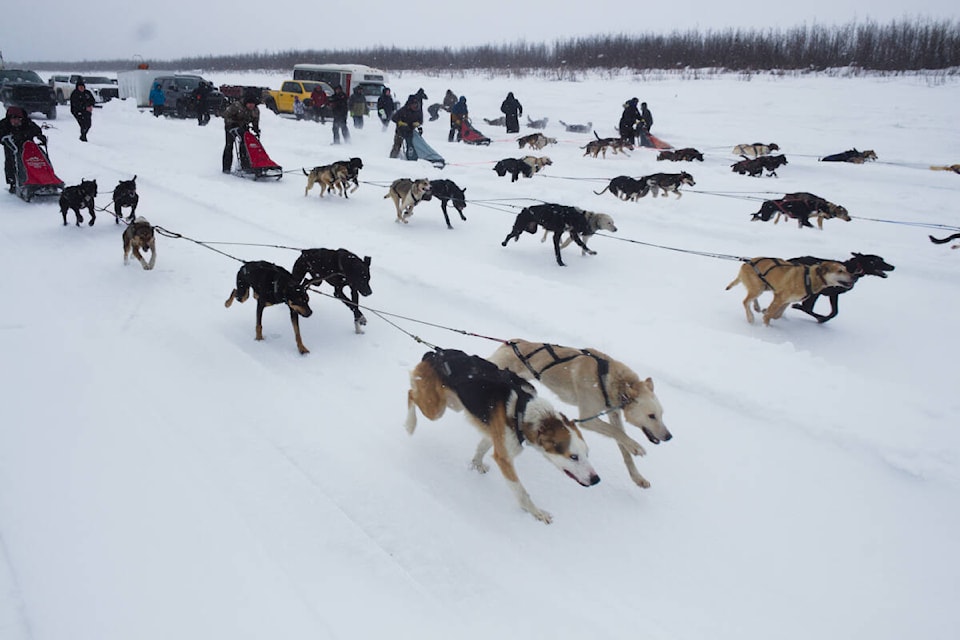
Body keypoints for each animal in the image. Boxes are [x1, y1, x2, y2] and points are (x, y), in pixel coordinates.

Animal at [404, 348, 600, 524]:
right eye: (573, 457)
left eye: (587, 454)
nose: (596, 480)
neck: (523, 410)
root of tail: (434, 354)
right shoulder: (504, 458)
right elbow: (521, 491)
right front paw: (536, 512)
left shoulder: (495, 436)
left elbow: (481, 448)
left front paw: (476, 464)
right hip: (435, 409)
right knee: (411, 394)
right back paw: (410, 424)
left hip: (455, 404)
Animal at [492, 338, 672, 488]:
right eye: (651, 416)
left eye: (662, 414)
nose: (669, 436)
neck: (608, 377)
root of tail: (511, 342)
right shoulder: (588, 419)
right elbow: (617, 432)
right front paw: (636, 446)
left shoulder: (613, 414)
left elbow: (622, 444)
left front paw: (637, 476)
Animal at [728, 256, 856, 324]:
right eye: (840, 271)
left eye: (846, 269)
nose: (854, 277)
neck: (809, 278)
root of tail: (745, 263)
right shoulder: (779, 298)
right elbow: (770, 314)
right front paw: (766, 327)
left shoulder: (787, 301)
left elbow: (777, 315)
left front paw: (766, 312)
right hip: (758, 288)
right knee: (745, 302)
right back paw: (750, 318)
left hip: (763, 286)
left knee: (751, 299)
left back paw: (757, 307)